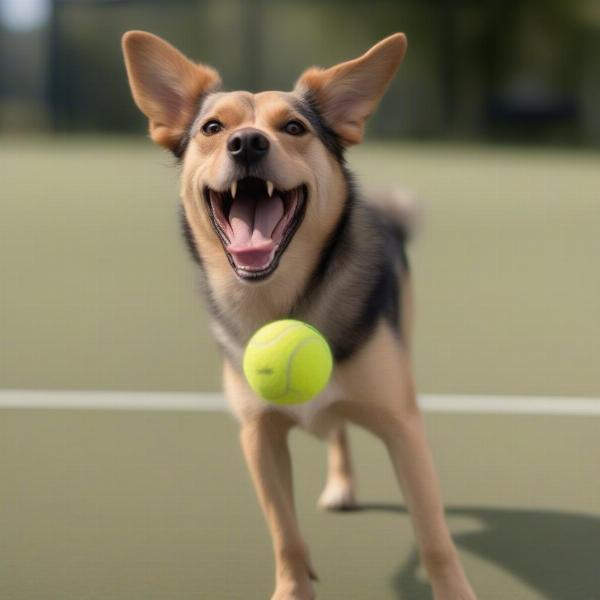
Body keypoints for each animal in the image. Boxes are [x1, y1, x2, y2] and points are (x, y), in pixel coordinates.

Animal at [123, 29, 478, 600]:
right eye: (212, 128)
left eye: (294, 127)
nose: (247, 143)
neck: (285, 302)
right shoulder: (258, 437)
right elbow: (285, 535)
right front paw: (293, 589)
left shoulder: (403, 428)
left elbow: (434, 538)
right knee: (336, 431)